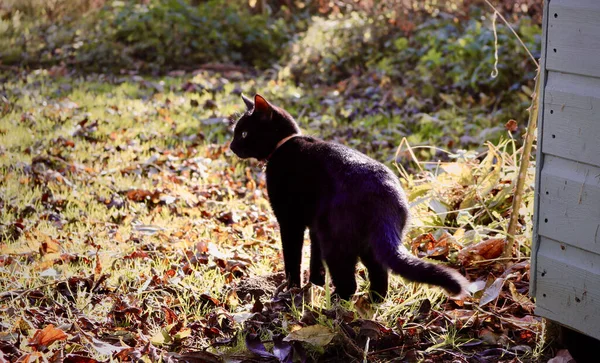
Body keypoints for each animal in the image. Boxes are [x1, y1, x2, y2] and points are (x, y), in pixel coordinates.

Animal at [230, 94, 468, 302]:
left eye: (244, 133)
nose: (231, 146)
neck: (284, 144)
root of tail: (383, 197)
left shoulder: (290, 221)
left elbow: (293, 258)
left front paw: (291, 289)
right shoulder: (314, 227)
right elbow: (315, 258)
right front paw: (315, 284)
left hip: (335, 239)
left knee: (348, 280)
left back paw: (336, 301)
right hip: (367, 243)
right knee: (379, 272)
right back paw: (373, 300)